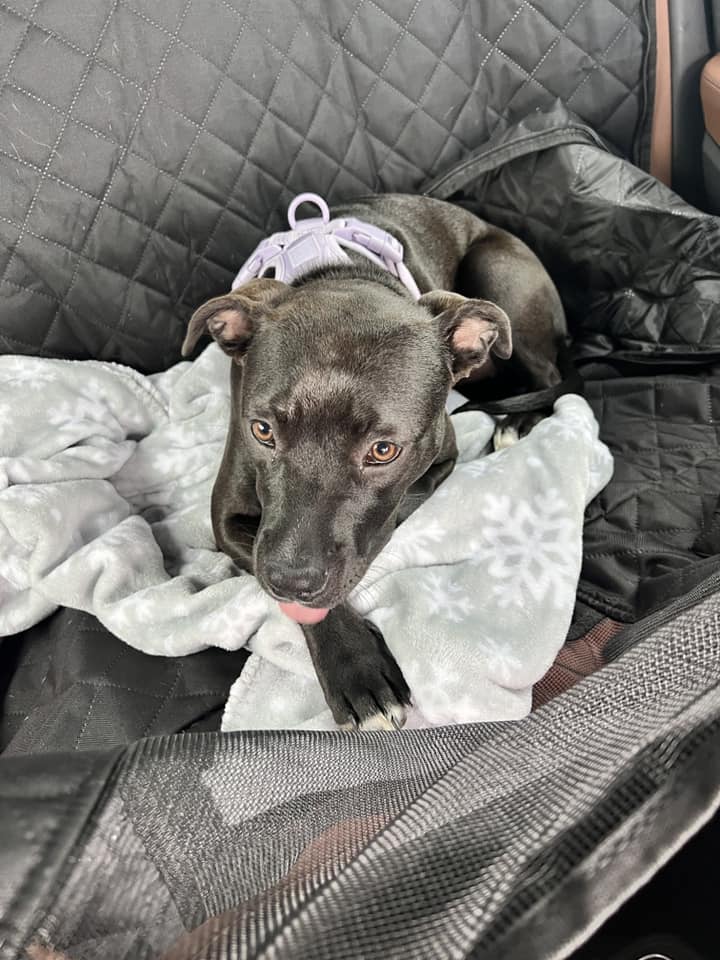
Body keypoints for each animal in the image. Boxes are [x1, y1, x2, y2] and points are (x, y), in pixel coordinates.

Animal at [183, 197, 564, 736]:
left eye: (383, 451)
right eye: (262, 431)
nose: (290, 579)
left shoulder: (440, 457)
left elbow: (399, 511)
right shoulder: (230, 520)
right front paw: (356, 670)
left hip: (497, 271)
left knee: (551, 373)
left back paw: (522, 418)